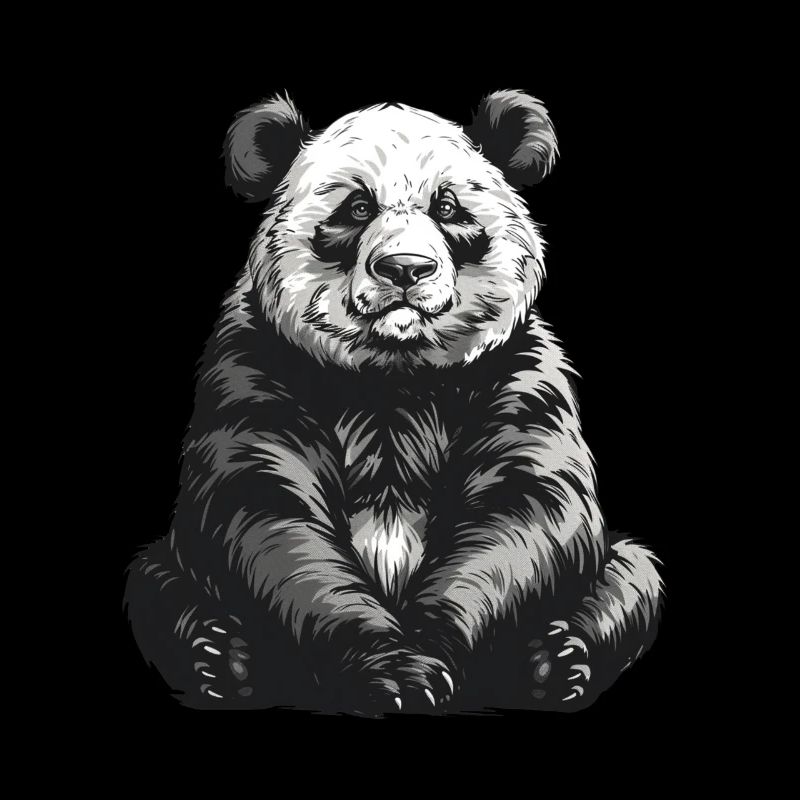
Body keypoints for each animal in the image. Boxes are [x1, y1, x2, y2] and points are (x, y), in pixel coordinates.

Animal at [124, 90, 663, 715]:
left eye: (447, 207)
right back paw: (224, 659)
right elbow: (262, 508)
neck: (395, 372)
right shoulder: (256, 361)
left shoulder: (515, 370)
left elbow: (527, 508)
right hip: (162, 569)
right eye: (357, 208)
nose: (406, 268)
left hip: (620, 569)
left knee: (633, 575)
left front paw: (425, 654)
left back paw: (556, 661)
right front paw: (392, 671)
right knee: (153, 583)